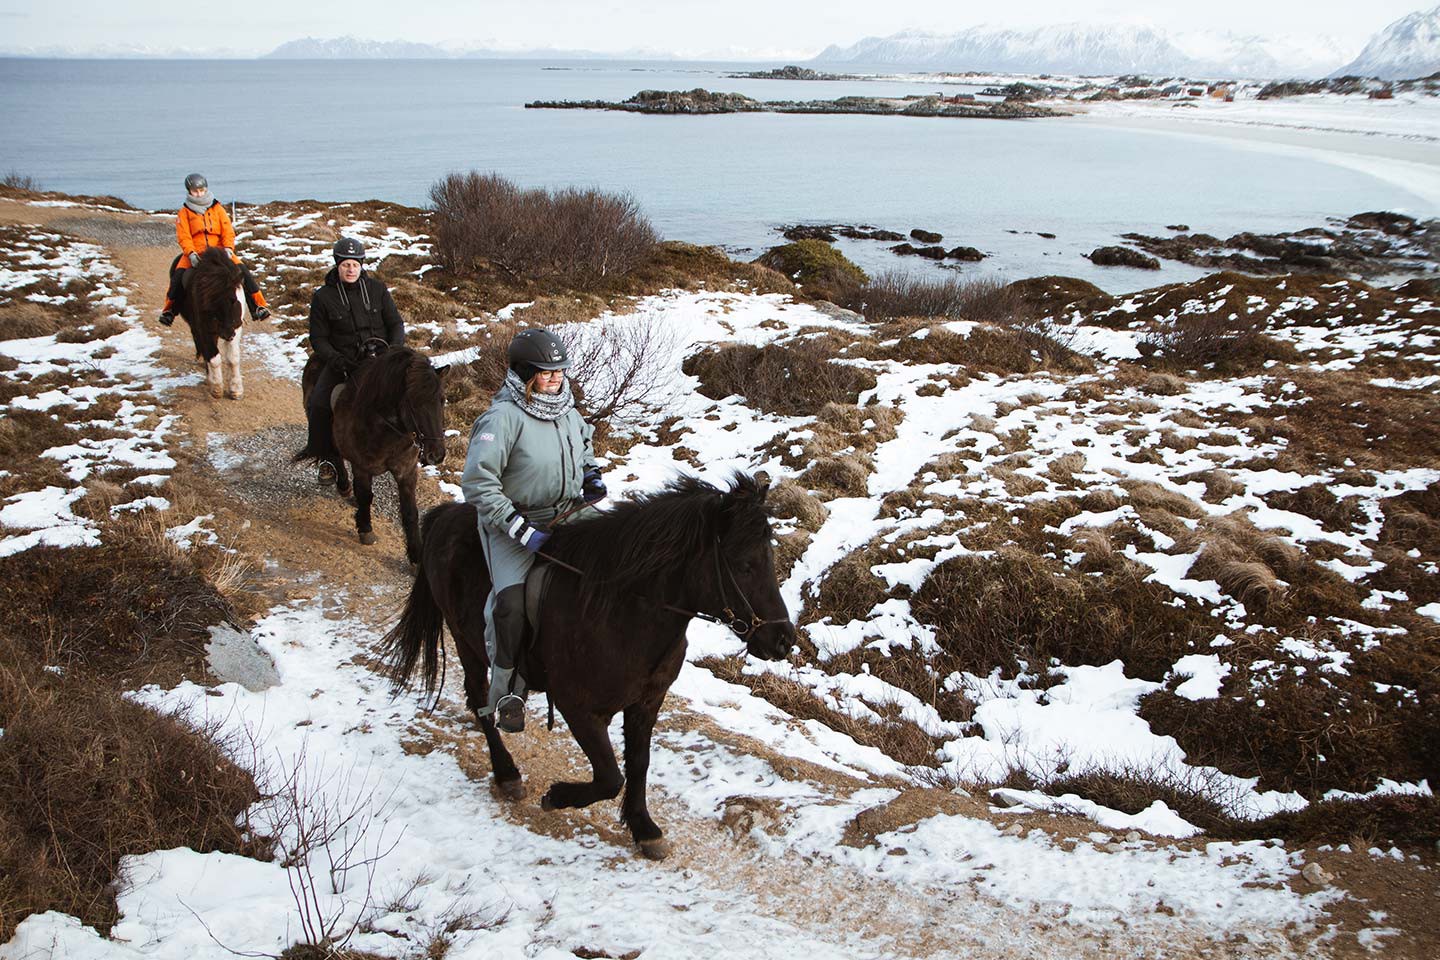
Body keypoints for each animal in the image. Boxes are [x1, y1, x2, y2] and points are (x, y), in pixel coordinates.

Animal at [295, 346, 446, 564]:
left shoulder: (406, 471)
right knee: (333, 453)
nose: (437, 455)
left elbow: (410, 512)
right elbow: (366, 496)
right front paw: (365, 529)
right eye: (413, 403)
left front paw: (416, 554)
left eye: (442, 400)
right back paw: (342, 484)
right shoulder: (362, 467)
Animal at [377, 477, 794, 857]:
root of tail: (447, 514)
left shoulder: (646, 703)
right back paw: (507, 772)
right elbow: (610, 775)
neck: (624, 612)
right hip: (466, 640)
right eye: (744, 566)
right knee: (478, 697)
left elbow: (638, 763)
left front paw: (644, 827)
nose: (783, 639)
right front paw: (558, 796)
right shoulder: (577, 707)